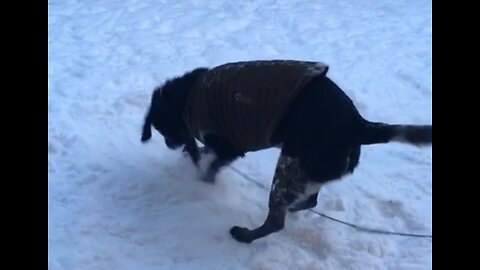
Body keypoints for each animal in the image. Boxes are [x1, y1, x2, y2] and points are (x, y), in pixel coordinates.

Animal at [141, 60, 434, 244]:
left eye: (166, 130)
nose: (170, 144)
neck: (188, 96)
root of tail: (357, 124)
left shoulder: (230, 147)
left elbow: (210, 167)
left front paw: (202, 180)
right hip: (306, 169)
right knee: (311, 200)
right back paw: (293, 208)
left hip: (288, 170)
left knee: (275, 222)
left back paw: (245, 235)